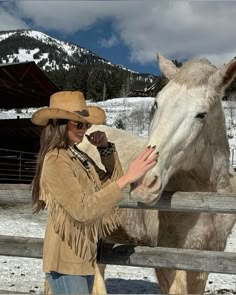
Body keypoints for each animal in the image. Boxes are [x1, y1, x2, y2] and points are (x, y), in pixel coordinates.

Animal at [80, 53, 236, 295]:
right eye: (156, 103)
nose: (142, 182)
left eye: (201, 114)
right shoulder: (168, 259)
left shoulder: (205, 259)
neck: (207, 198)